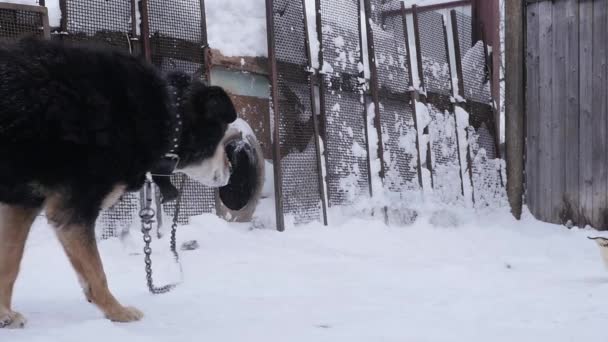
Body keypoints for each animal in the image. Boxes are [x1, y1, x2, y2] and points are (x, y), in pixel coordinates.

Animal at [0, 38, 236, 328]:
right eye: (221, 137)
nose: (232, 170)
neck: (167, 113)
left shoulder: (23, 201)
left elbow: (9, 262)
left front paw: (4, 313)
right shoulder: (73, 209)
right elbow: (97, 273)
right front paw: (117, 312)